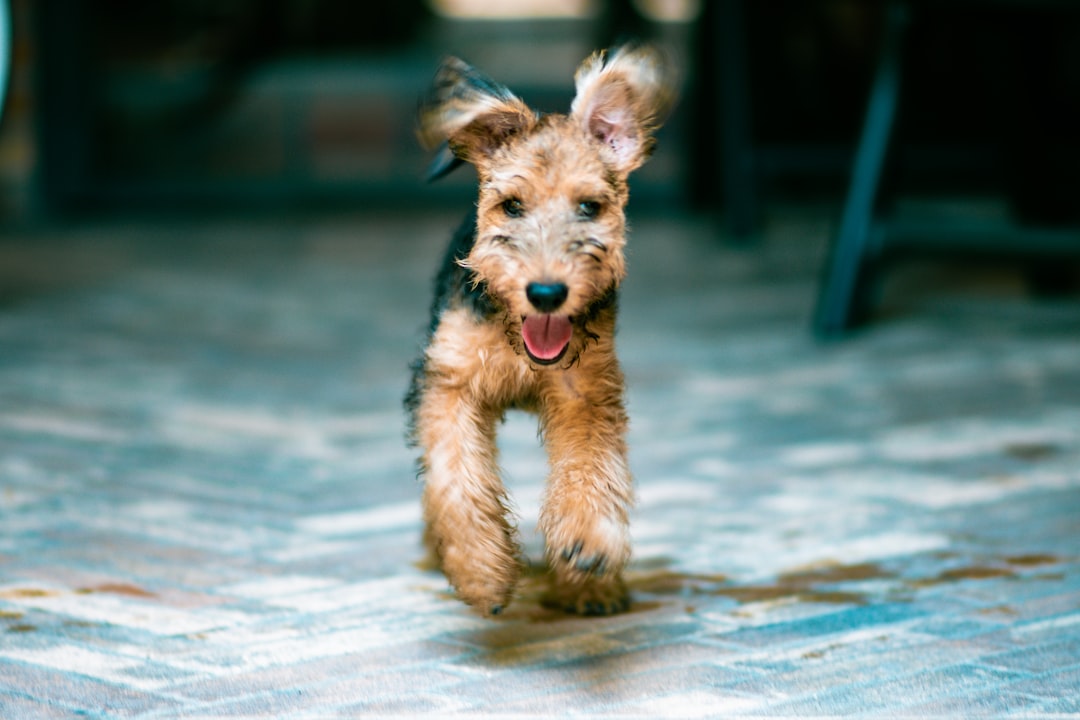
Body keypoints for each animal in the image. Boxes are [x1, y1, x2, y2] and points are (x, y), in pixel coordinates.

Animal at [406, 45, 669, 617]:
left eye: (589, 207)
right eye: (512, 206)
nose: (546, 293)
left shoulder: (586, 392)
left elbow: (591, 465)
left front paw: (588, 544)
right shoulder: (449, 384)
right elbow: (456, 481)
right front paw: (480, 570)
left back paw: (593, 589)